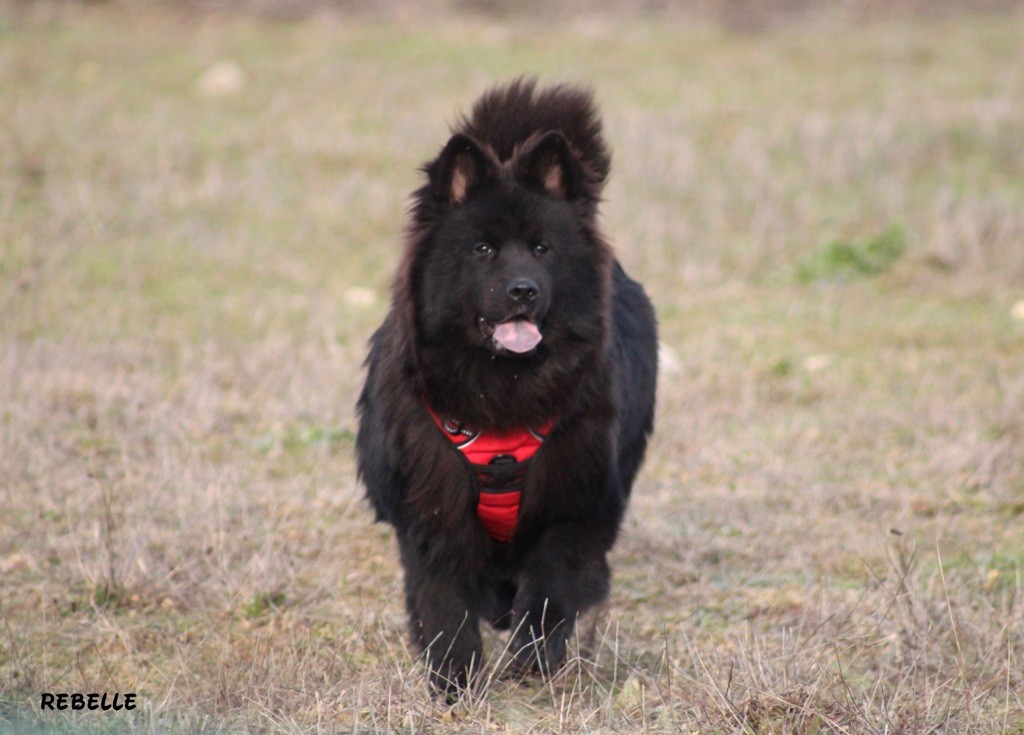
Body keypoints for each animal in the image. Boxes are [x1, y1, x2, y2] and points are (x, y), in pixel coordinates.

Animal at [356, 79, 659, 696]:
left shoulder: (574, 504)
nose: (522, 290)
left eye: (542, 248)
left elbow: (548, 592)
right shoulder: (433, 510)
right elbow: (443, 602)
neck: (501, 396)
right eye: (482, 249)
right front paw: (454, 680)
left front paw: (532, 663)